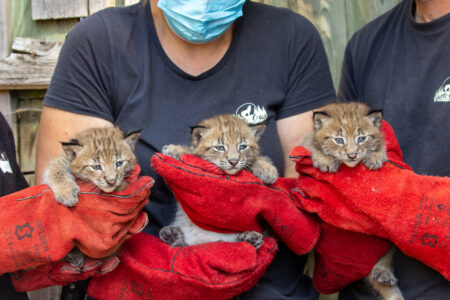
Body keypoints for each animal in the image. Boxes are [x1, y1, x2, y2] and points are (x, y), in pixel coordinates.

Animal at [44, 126, 140, 268]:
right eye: (96, 167)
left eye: (119, 163)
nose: (111, 181)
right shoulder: (60, 160)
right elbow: (55, 169)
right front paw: (67, 193)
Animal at [158, 114, 278, 248]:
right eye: (220, 148)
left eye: (243, 146)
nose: (234, 161)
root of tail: (208, 242)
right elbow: (192, 152)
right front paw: (175, 149)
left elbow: (256, 158)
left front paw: (267, 170)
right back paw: (172, 235)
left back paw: (250, 237)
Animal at [304, 102, 402, 300]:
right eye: (338, 140)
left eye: (361, 138)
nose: (351, 155)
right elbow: (311, 145)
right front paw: (324, 158)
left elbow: (382, 144)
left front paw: (377, 155)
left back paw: (383, 271)